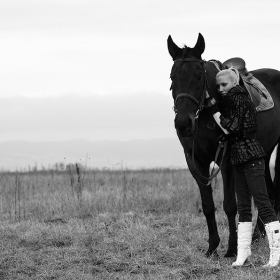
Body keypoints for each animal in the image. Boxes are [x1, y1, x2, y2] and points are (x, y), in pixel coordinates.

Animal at [167, 33, 280, 258]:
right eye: (172, 77)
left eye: (198, 76)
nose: (183, 124)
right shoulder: (196, 162)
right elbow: (208, 205)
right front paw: (212, 247)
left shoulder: (227, 159)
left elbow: (229, 205)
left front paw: (232, 248)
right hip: (263, 153)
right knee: (267, 191)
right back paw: (258, 235)